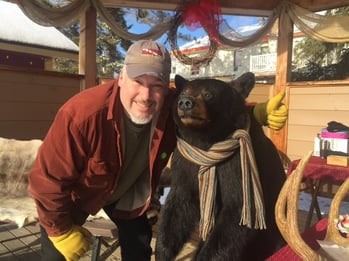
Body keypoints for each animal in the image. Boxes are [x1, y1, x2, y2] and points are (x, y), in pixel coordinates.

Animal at [155, 72, 286, 258]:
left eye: (208, 94)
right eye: (182, 93)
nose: (185, 102)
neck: (206, 141)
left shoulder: (237, 165)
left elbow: (239, 208)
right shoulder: (185, 164)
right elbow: (178, 206)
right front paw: (162, 251)